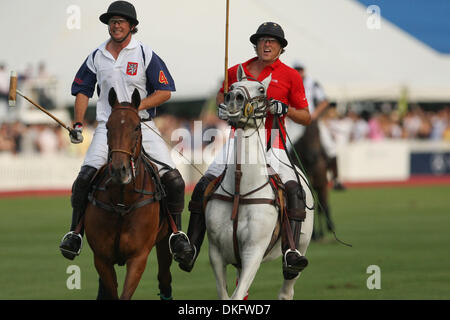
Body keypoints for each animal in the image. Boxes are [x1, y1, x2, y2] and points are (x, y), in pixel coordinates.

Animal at [82, 87, 172, 300]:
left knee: (165, 279)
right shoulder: (102, 259)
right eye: (107, 127)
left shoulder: (138, 258)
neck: (122, 202)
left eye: (137, 127)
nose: (118, 170)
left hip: (164, 241)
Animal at [206, 65, 314, 300]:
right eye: (231, 87)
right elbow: (228, 296)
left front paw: (279, 106)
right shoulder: (216, 252)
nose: (233, 99)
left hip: (302, 245)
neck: (240, 191)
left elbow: (236, 296)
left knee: (287, 289)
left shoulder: (253, 251)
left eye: (262, 90)